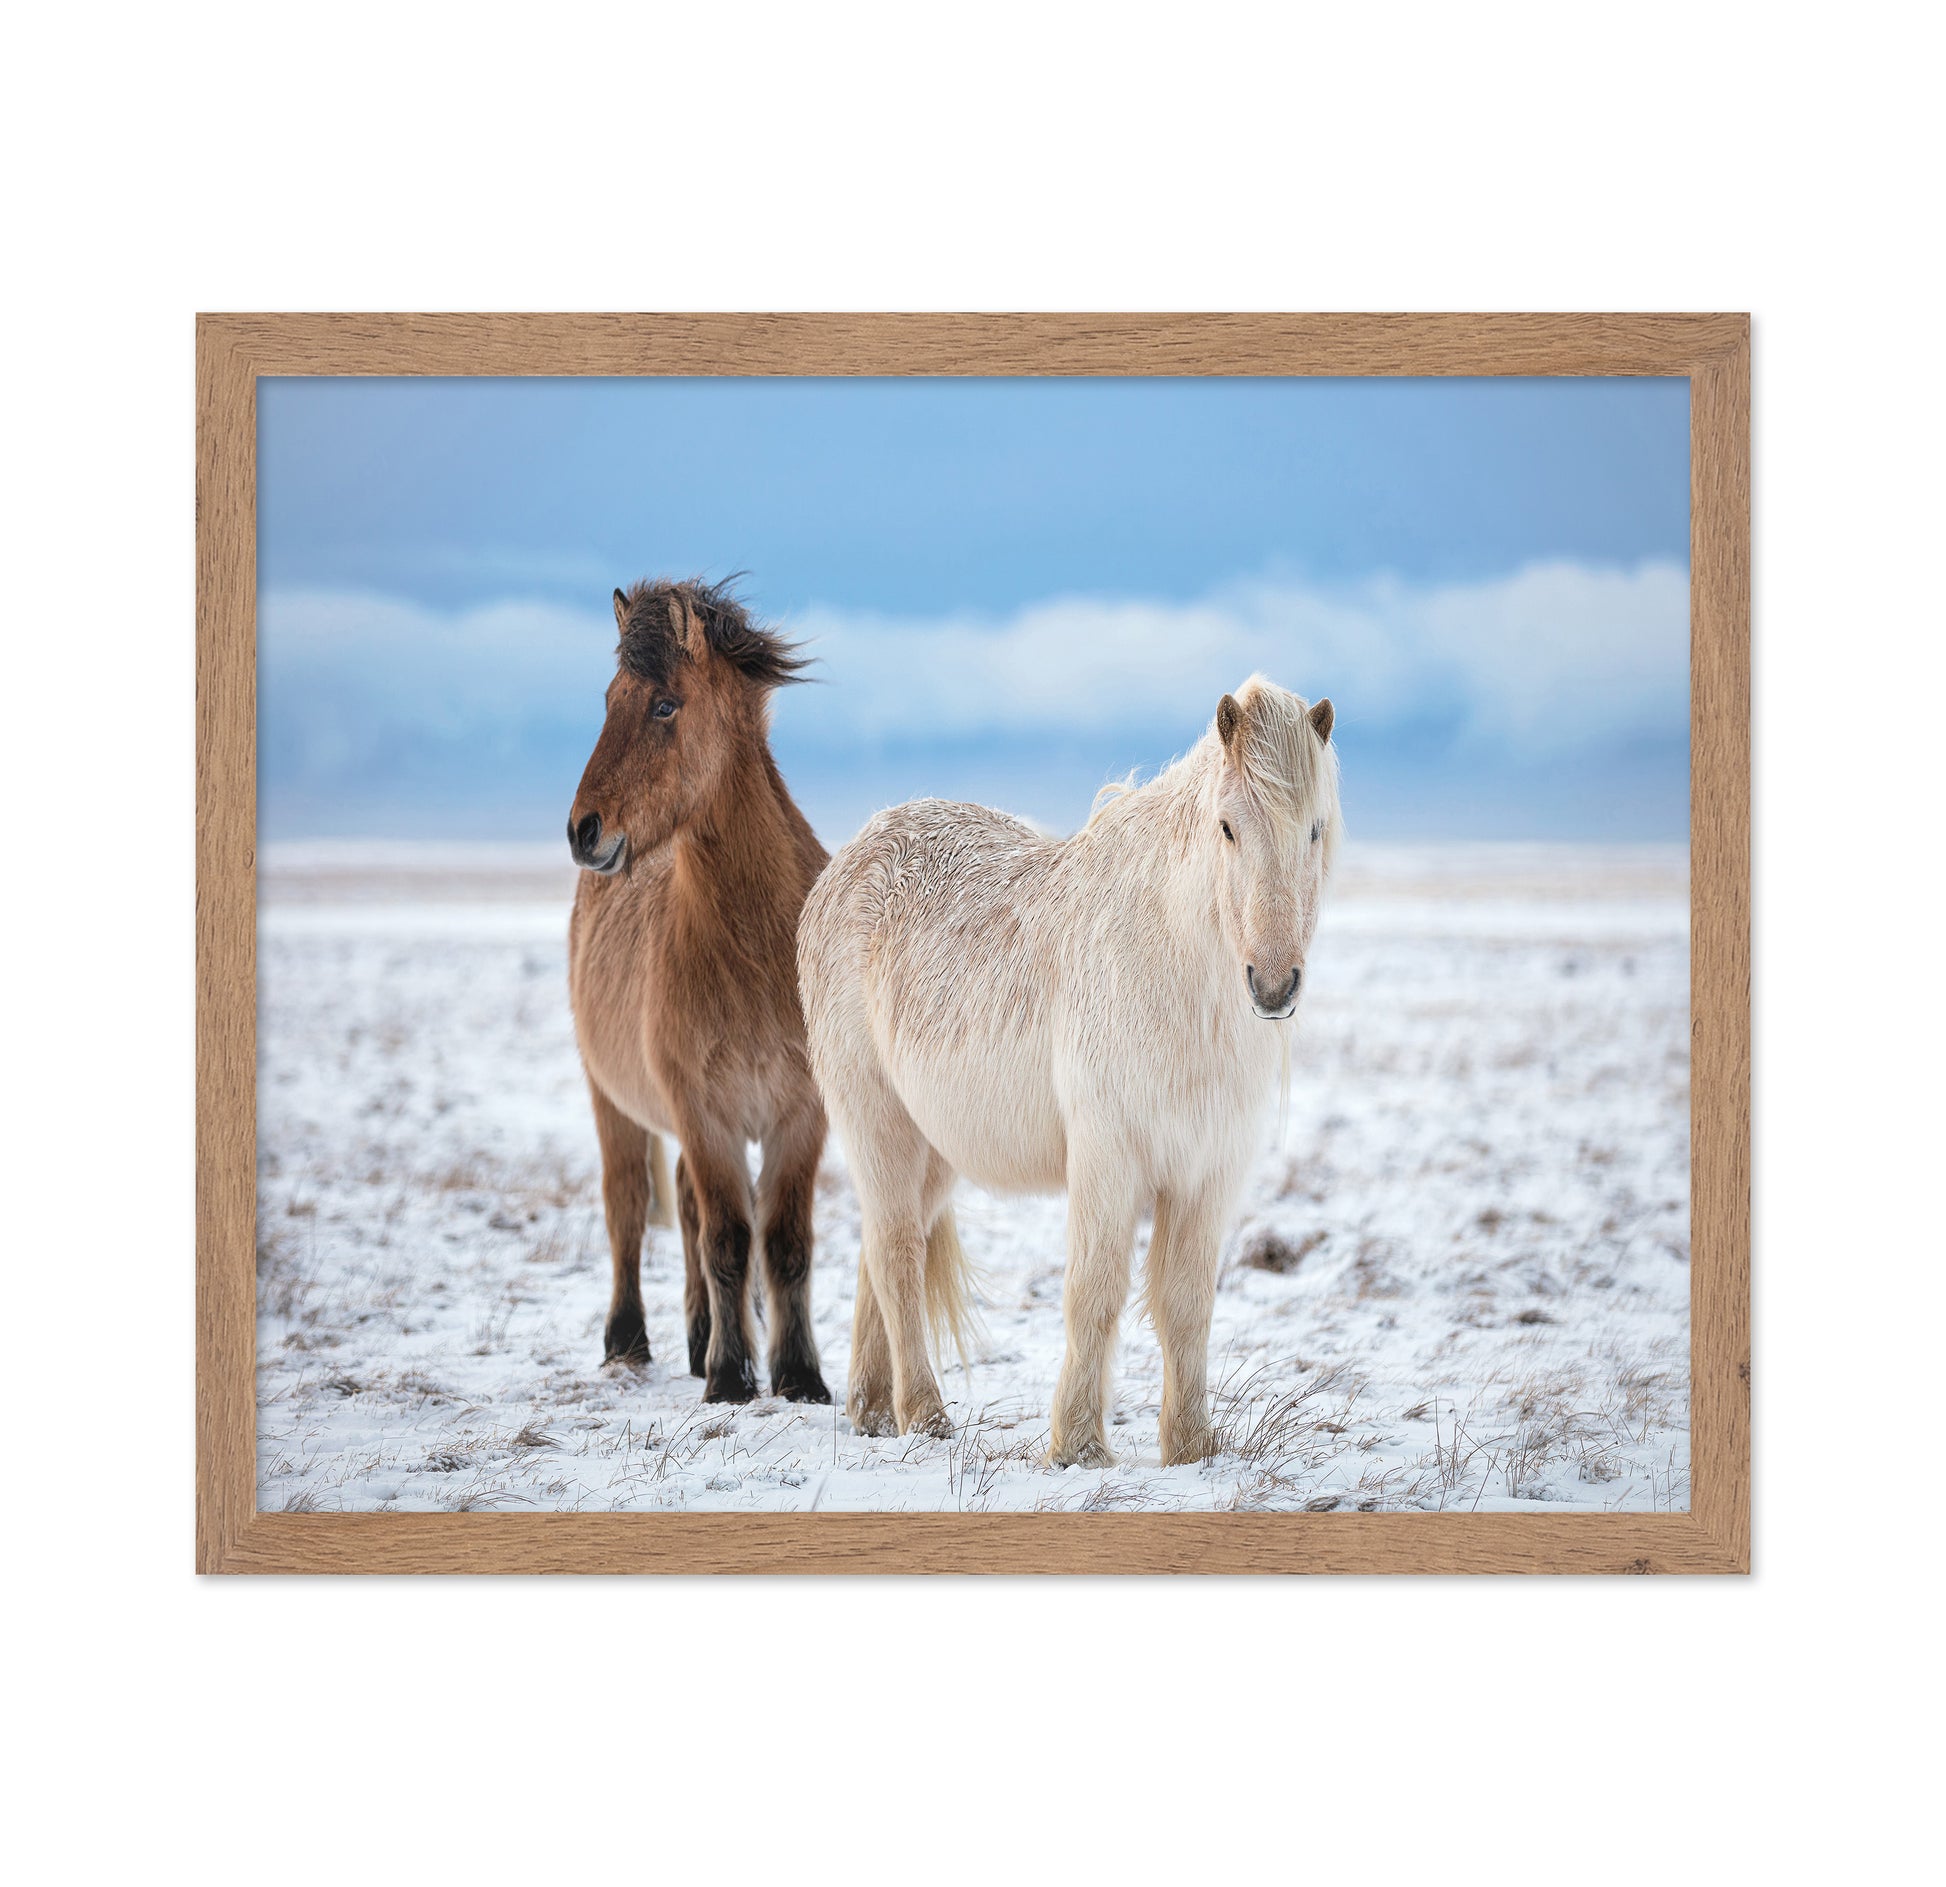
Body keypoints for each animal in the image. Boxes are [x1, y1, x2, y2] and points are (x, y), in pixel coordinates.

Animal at [566, 578, 833, 1404]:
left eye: (663, 704)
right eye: (608, 697)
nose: (583, 830)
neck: (754, 951)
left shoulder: (799, 1115)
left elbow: (783, 1242)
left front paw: (800, 1375)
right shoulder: (704, 1112)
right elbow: (726, 1238)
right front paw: (730, 1377)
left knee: (683, 1207)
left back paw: (696, 1334)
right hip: (613, 1100)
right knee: (629, 1207)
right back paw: (631, 1340)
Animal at [797, 676, 1341, 1466]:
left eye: (1314, 830)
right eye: (1228, 827)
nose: (1273, 986)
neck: (1171, 964)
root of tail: (844, 863)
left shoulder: (1208, 1171)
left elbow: (1186, 1303)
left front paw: (1191, 1446)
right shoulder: (1108, 1157)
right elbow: (1095, 1291)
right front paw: (1078, 1444)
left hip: (935, 1148)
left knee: (884, 1247)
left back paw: (872, 1410)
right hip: (876, 1119)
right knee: (897, 1255)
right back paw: (925, 1416)